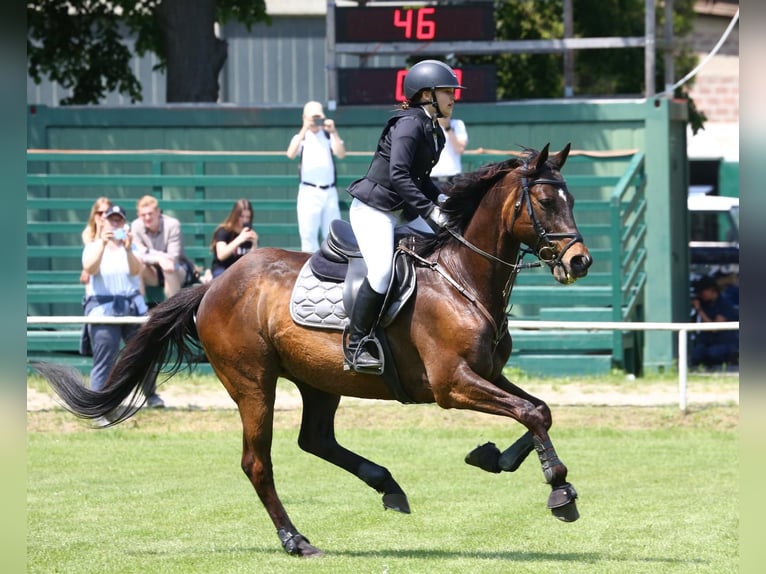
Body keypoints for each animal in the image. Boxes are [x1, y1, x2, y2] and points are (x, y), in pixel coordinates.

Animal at [36, 144, 592, 560]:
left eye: (571, 199)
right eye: (546, 201)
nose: (579, 262)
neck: (463, 276)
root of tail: (215, 286)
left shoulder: (486, 374)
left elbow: (539, 410)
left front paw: (493, 458)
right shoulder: (452, 384)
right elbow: (530, 413)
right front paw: (559, 490)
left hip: (320, 380)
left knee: (316, 440)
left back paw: (387, 485)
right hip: (253, 384)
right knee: (258, 463)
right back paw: (296, 539)